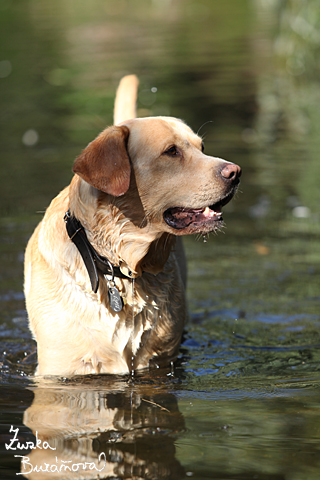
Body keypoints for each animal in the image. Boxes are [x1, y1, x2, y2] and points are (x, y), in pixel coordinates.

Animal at [24, 75, 240, 376]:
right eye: (171, 151)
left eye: (202, 148)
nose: (236, 173)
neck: (120, 266)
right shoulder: (61, 365)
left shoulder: (160, 362)